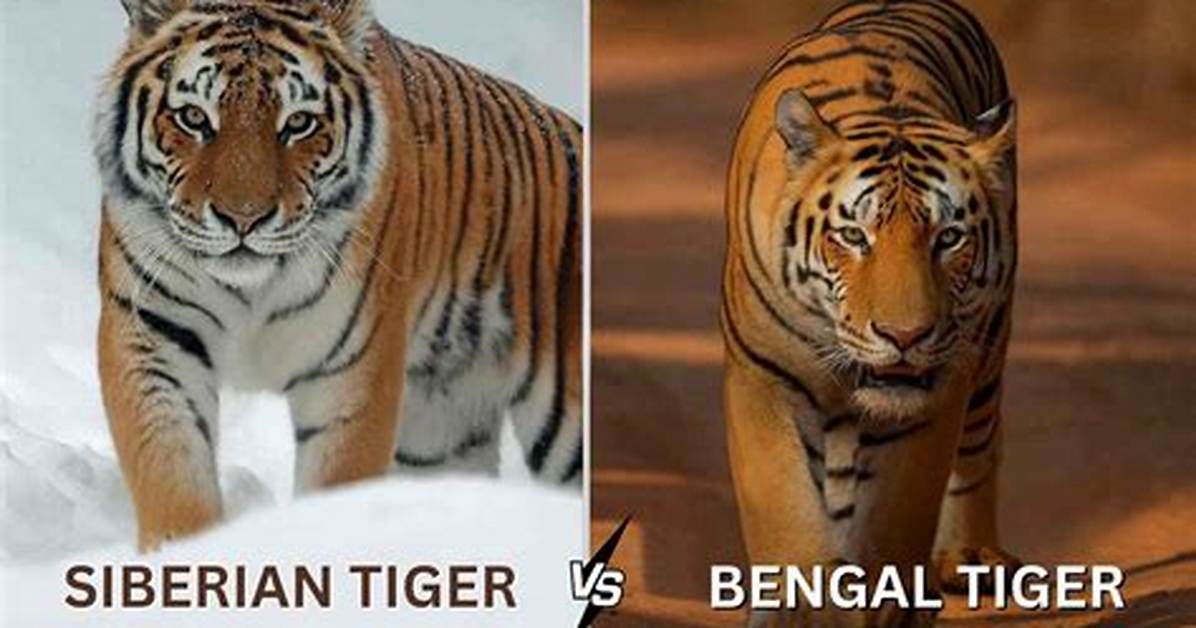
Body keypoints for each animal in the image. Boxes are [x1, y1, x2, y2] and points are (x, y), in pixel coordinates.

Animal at [94, 0, 582, 551]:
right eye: (194, 117)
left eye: (299, 123)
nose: (243, 219)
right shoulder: (154, 336)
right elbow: (170, 473)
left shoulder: (348, 372)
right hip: (441, 435)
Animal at [720, 0, 1016, 624]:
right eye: (854, 236)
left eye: (949, 237)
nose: (905, 335)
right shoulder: (760, 378)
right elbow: (782, 504)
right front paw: (800, 603)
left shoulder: (936, 393)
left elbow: (896, 518)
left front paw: (887, 606)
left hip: (988, 348)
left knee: (979, 448)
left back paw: (971, 555)